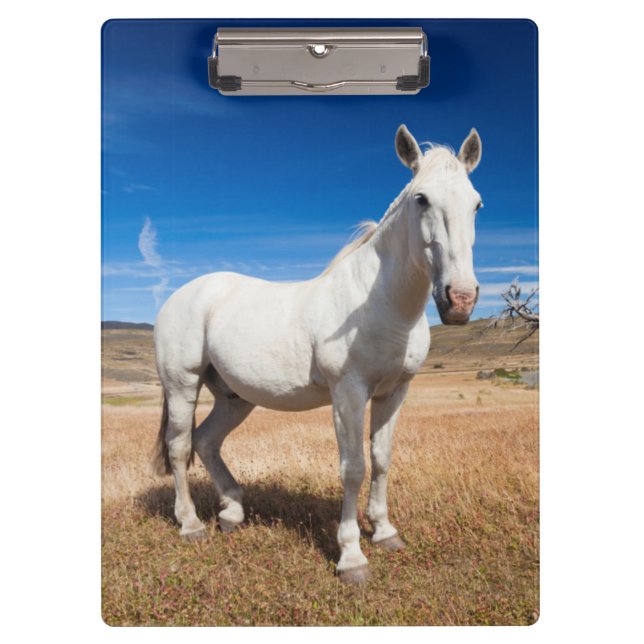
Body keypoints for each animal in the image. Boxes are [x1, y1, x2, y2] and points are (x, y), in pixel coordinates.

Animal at [153, 124, 482, 584]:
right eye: (422, 199)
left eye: (476, 203)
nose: (460, 300)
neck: (380, 304)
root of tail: (180, 295)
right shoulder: (349, 393)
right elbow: (353, 467)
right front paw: (352, 557)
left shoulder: (393, 392)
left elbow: (381, 459)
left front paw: (385, 532)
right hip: (182, 385)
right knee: (181, 447)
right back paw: (190, 524)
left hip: (235, 398)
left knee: (207, 441)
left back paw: (232, 513)